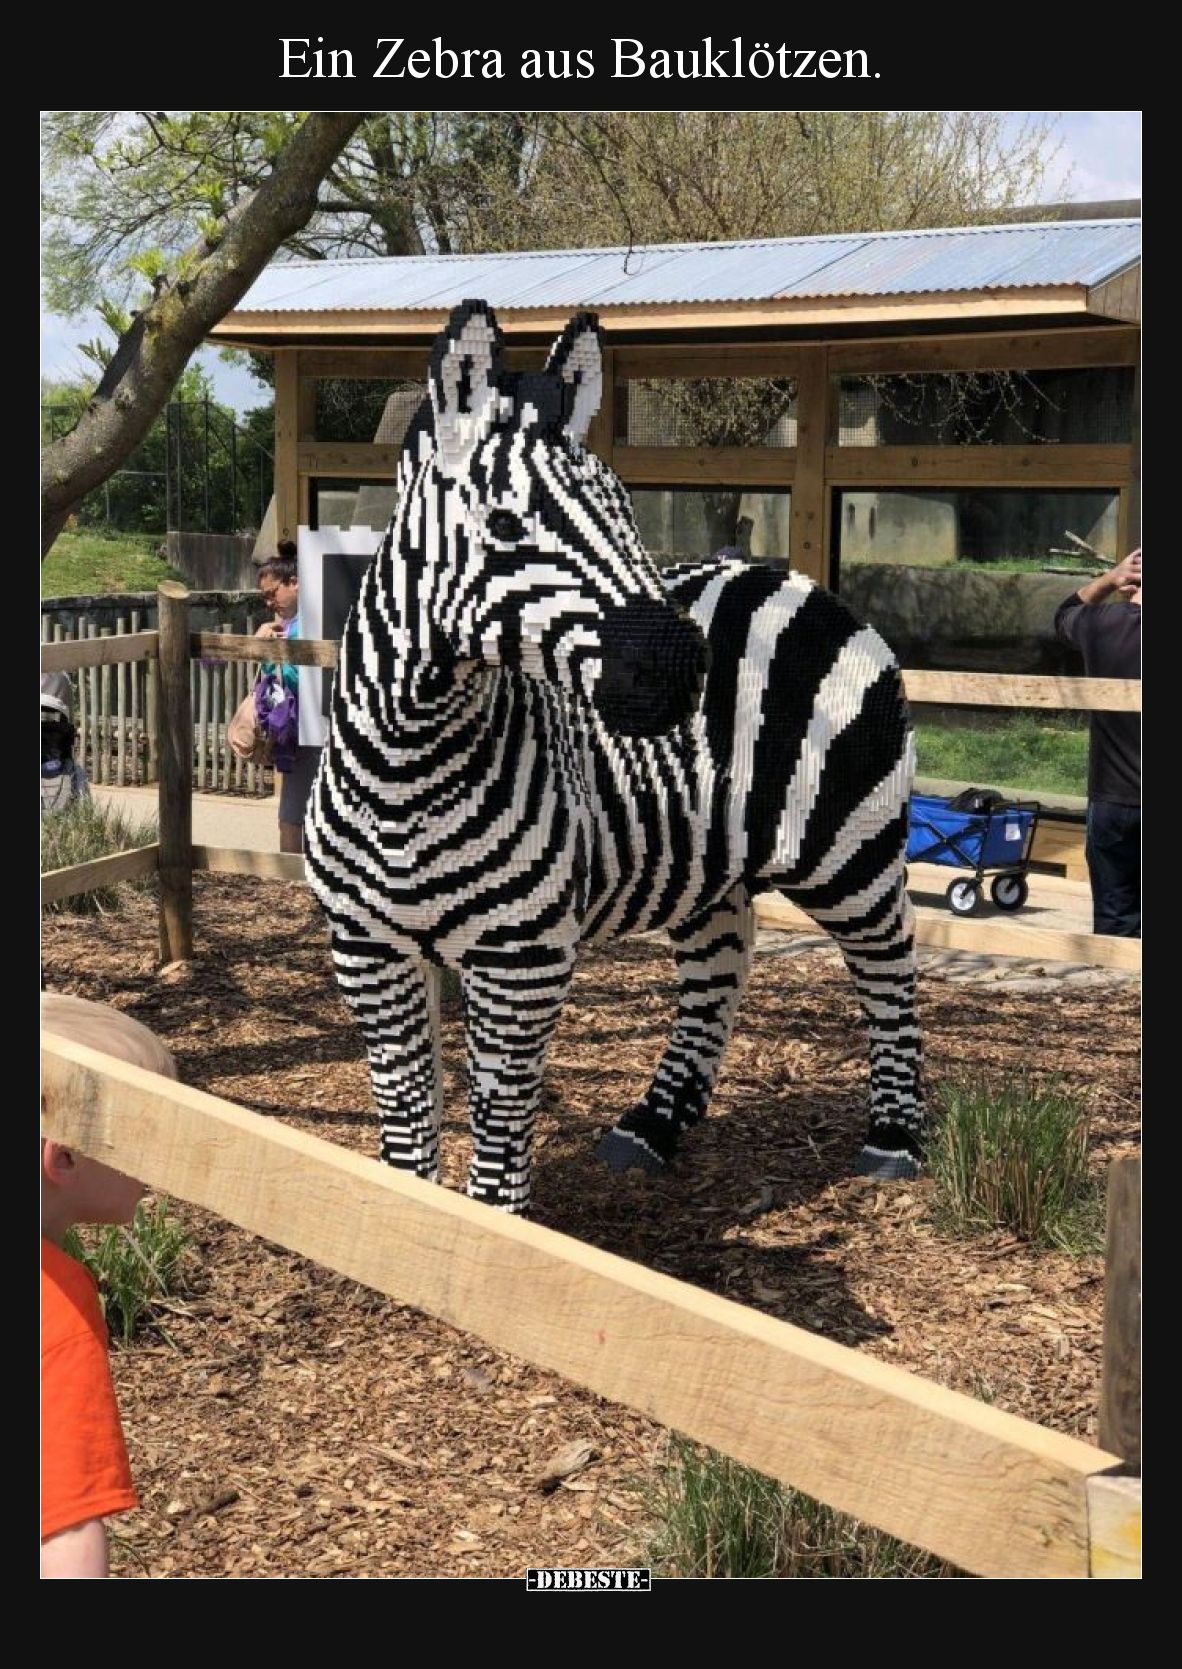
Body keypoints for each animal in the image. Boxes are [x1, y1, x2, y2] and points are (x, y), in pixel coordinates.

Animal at [305, 299, 923, 1213]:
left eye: (627, 510)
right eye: (504, 525)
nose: (687, 670)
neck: (406, 769)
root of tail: (795, 579)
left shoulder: (521, 957)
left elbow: (498, 1146)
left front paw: (491, 1236)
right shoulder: (366, 946)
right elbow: (406, 1124)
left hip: (850, 850)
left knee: (890, 965)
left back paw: (895, 1138)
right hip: (712, 863)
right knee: (719, 967)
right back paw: (654, 1124)